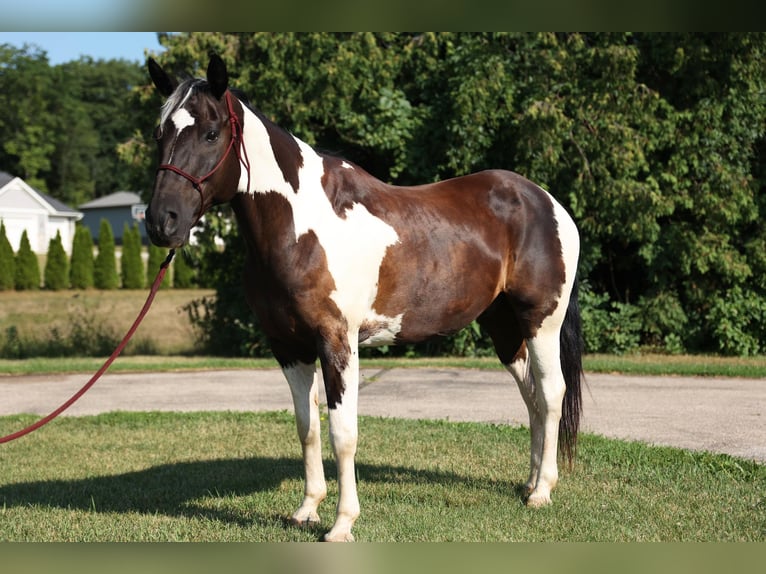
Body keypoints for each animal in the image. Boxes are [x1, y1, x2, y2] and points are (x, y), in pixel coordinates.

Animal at [147, 55, 584, 544]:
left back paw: (542, 491)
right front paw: (307, 509)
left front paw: (342, 524)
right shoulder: (288, 346)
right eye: (160, 133)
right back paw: (529, 482)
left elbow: (343, 433)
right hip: (503, 325)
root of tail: (547, 203)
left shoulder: (337, 341)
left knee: (552, 392)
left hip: (541, 320)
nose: (162, 221)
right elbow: (307, 427)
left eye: (210, 133)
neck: (303, 226)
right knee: (531, 395)